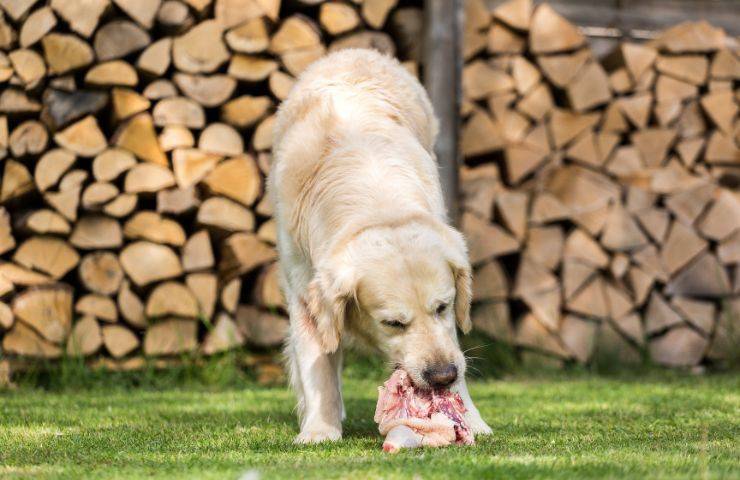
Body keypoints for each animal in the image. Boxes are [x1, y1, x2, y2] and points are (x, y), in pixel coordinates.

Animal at [268, 47, 492, 442]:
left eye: (443, 307)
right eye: (392, 323)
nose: (441, 376)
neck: (377, 202)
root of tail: (355, 51)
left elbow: (454, 347)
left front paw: (472, 420)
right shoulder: (305, 288)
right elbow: (317, 363)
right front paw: (319, 429)